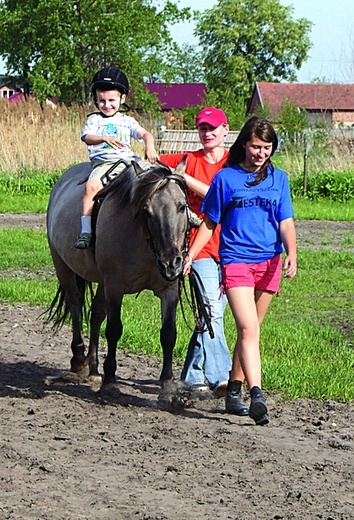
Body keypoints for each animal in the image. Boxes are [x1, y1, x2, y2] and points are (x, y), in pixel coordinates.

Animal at [45, 156, 189, 392]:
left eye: (182, 206)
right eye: (146, 210)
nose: (171, 263)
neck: (144, 242)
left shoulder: (169, 289)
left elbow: (168, 333)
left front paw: (167, 383)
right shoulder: (115, 287)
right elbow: (114, 329)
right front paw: (110, 381)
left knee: (96, 313)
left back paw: (94, 369)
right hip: (63, 266)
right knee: (75, 304)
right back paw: (79, 360)